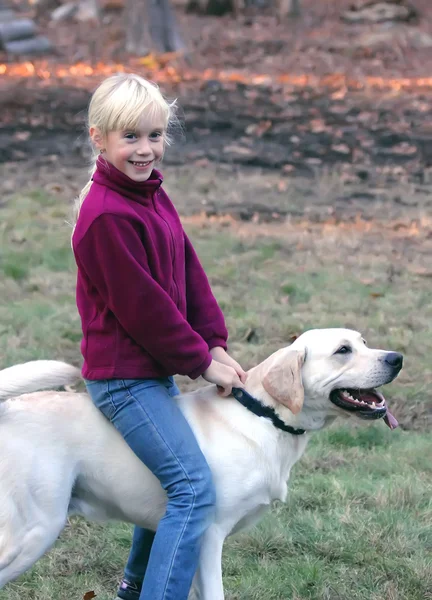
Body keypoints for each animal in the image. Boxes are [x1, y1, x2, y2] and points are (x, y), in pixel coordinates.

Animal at [0, 330, 402, 596]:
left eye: (364, 342)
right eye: (342, 350)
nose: (396, 358)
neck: (262, 416)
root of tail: (8, 409)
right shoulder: (208, 536)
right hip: (35, 530)